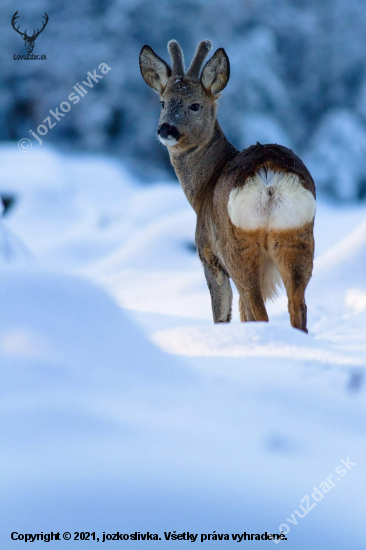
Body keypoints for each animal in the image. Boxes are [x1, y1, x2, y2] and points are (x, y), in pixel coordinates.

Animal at [139, 41, 316, 334]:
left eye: (195, 105)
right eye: (163, 102)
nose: (165, 129)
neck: (202, 190)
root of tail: (269, 180)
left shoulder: (208, 254)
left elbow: (221, 314)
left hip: (237, 247)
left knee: (258, 310)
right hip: (297, 239)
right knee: (296, 307)